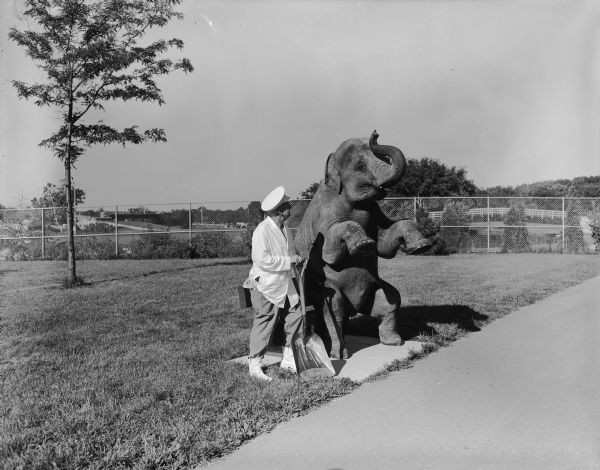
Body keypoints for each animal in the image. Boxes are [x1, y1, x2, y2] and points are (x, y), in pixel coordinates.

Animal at [294, 130, 432, 358]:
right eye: (359, 166)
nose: (375, 133)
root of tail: (355, 308)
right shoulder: (324, 214)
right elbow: (328, 250)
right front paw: (363, 245)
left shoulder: (375, 210)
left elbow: (385, 241)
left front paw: (421, 245)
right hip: (325, 288)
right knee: (334, 308)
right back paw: (338, 354)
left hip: (374, 288)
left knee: (392, 298)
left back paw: (393, 342)